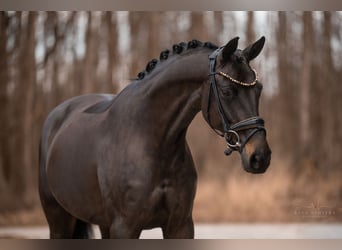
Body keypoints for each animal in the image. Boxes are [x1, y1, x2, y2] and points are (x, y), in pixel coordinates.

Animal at [39, 36, 270, 238]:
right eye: (227, 91)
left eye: (258, 89)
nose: (260, 156)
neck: (151, 141)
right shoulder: (125, 227)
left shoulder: (180, 225)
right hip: (59, 220)